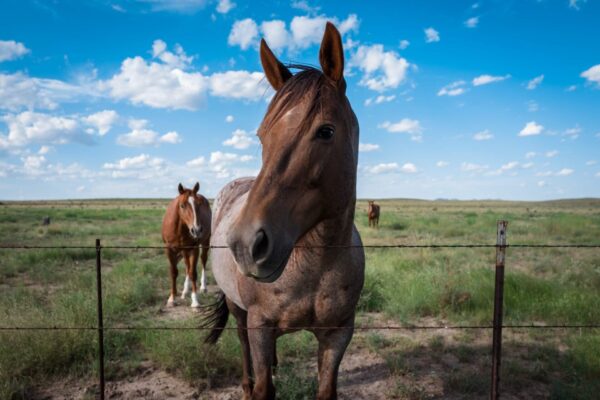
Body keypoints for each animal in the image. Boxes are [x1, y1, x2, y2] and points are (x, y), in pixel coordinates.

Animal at [204, 22, 364, 400]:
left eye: (326, 131)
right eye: (262, 136)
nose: (247, 244)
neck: (315, 265)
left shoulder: (339, 334)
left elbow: (326, 389)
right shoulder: (260, 326)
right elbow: (264, 386)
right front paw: (257, 385)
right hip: (239, 310)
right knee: (241, 341)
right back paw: (246, 383)